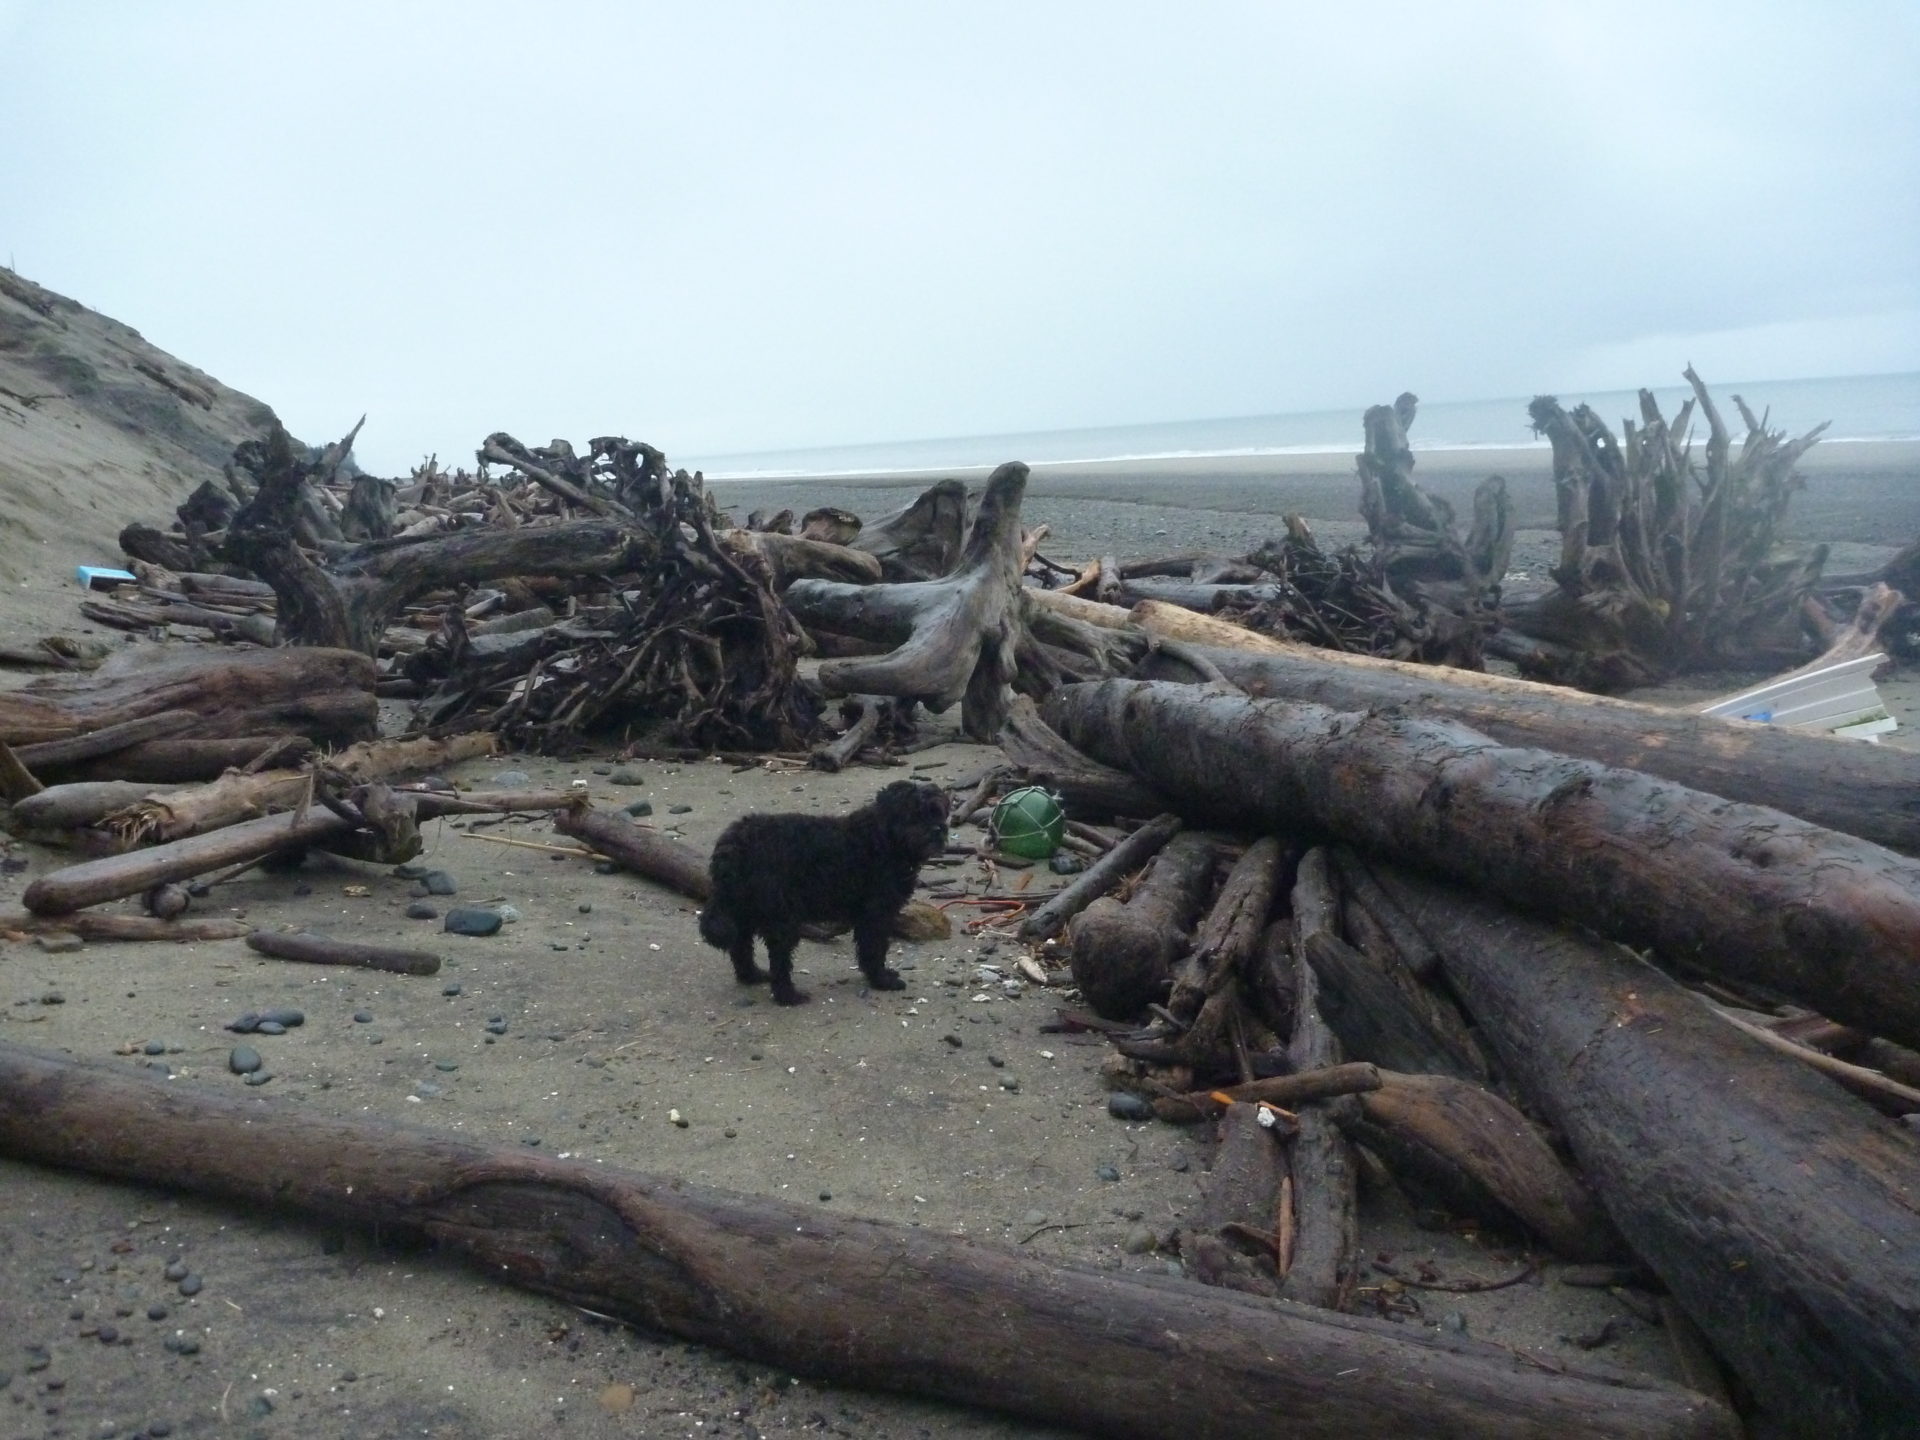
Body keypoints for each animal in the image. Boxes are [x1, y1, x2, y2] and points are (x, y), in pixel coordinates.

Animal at [698, 783, 952, 1006]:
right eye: (914, 813)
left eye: (937, 812)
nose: (937, 831)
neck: (885, 838)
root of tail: (734, 842)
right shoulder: (875, 914)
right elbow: (874, 949)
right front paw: (881, 980)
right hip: (781, 917)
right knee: (779, 958)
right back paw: (788, 996)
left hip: (743, 909)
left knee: (740, 946)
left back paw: (751, 975)